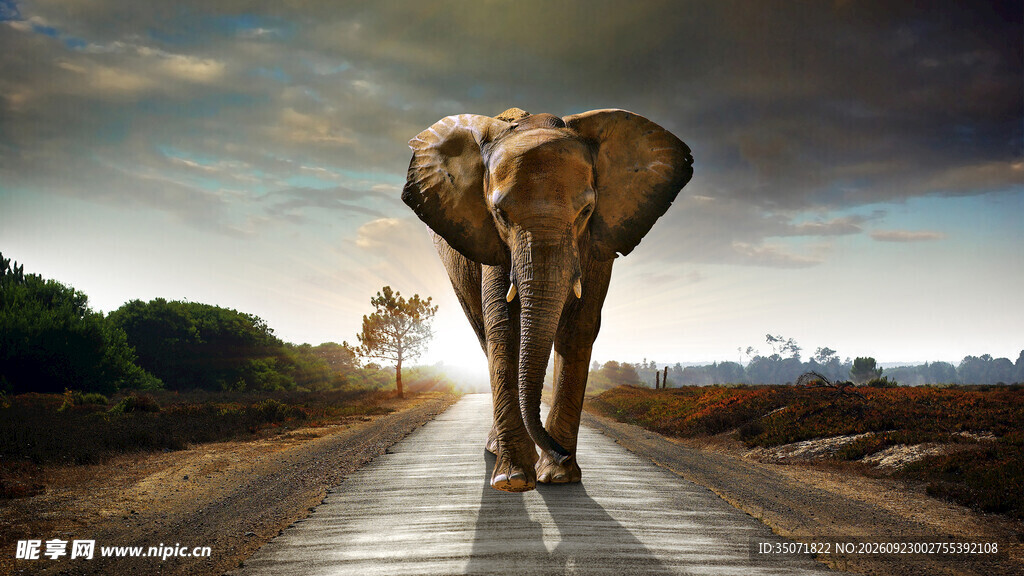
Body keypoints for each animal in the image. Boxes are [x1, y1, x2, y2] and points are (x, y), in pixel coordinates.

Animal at [402, 107, 693, 492]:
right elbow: (504, 326)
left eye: (586, 211)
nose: (559, 451)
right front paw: (513, 480)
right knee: (483, 332)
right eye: (500, 214)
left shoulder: (598, 241)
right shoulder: (493, 242)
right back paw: (498, 452)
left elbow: (579, 326)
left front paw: (558, 477)